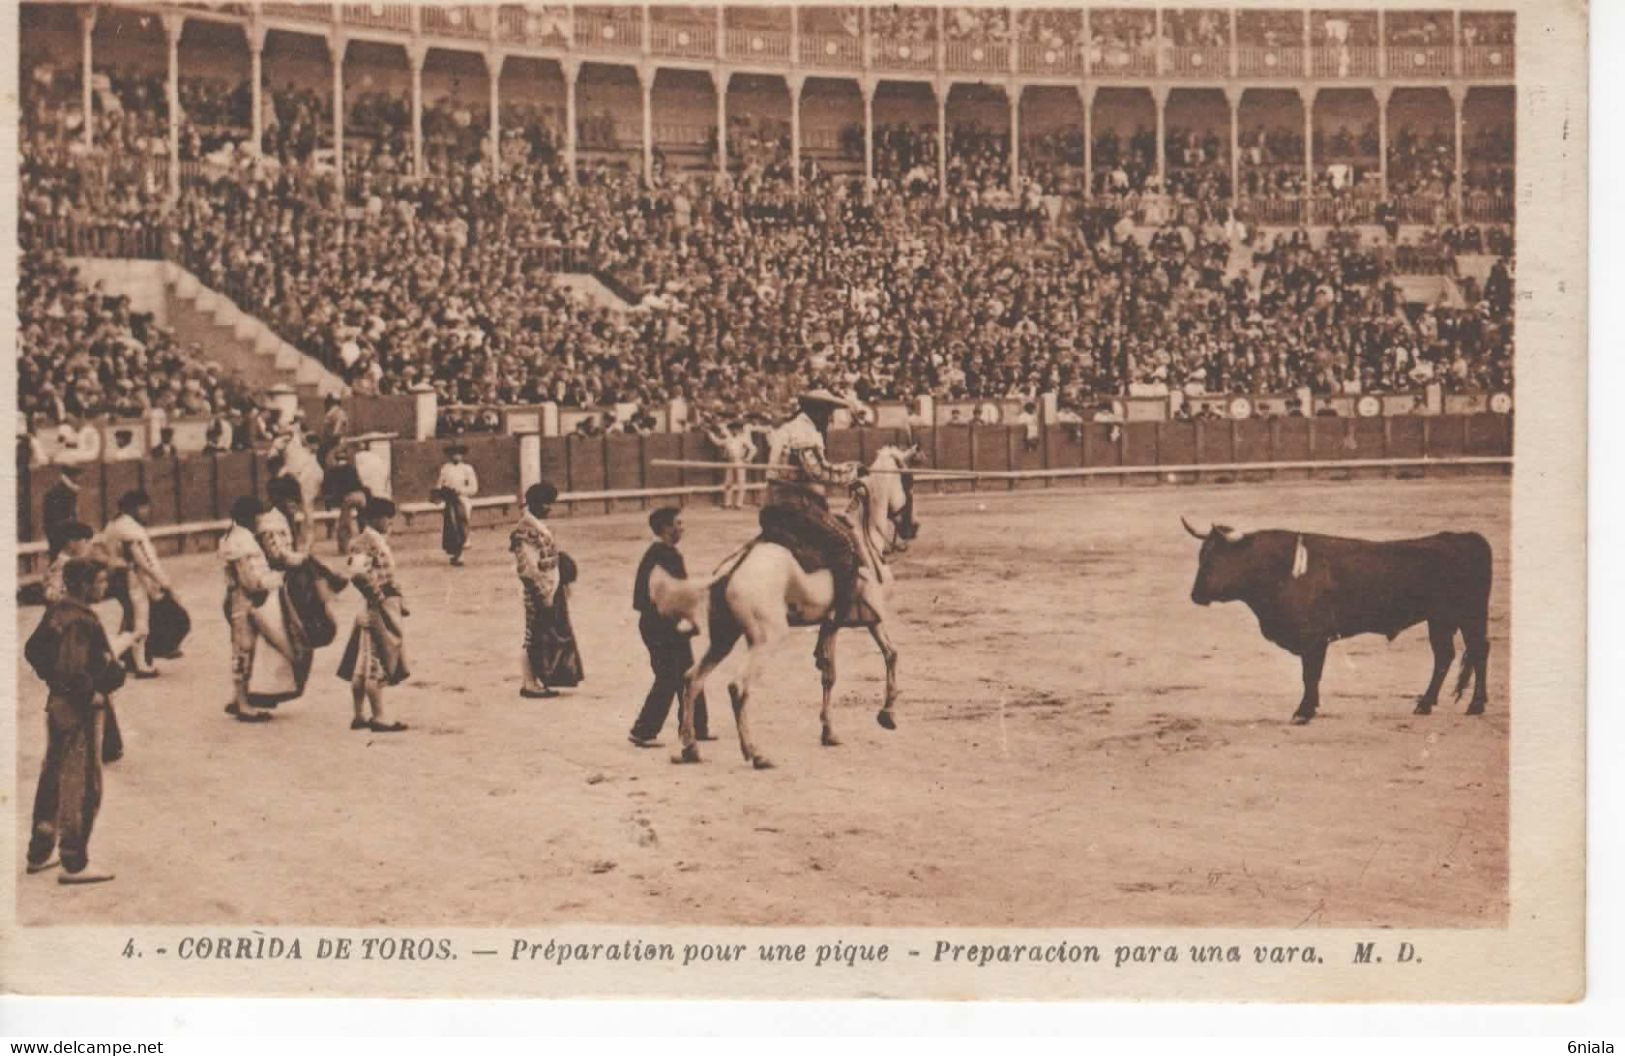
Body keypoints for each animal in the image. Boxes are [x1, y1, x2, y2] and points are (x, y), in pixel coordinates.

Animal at [653, 441, 923, 763]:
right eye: (908, 481)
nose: (913, 528)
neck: (864, 534)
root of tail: (732, 569)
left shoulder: (833, 623)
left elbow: (831, 673)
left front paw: (829, 732)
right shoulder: (873, 616)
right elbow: (890, 655)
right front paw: (887, 714)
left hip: (724, 636)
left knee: (692, 679)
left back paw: (690, 746)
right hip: (766, 637)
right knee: (737, 687)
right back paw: (755, 753)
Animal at [1189, 516, 1488, 724]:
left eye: (1214, 558)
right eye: (1201, 556)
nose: (1195, 595)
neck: (1281, 570)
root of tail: (1466, 538)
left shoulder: (1313, 638)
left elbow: (1310, 675)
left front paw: (1303, 711)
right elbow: (1311, 676)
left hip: (1470, 615)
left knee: (1478, 651)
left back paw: (1476, 705)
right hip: (1440, 620)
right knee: (1445, 656)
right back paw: (1425, 704)